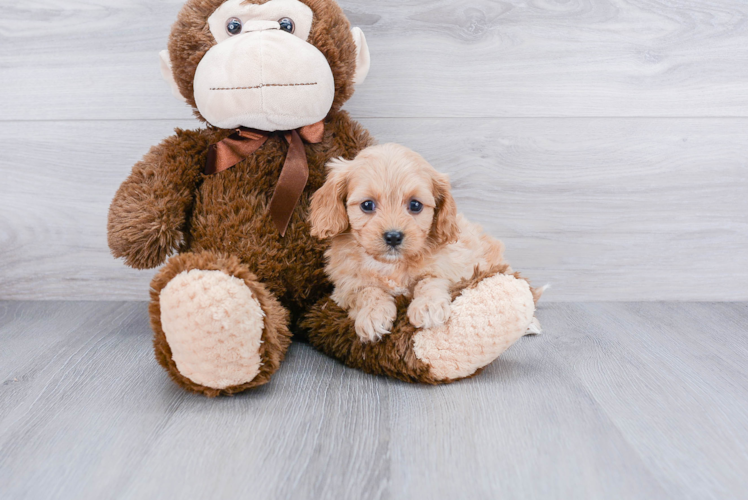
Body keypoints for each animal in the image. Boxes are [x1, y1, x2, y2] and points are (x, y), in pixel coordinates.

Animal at [308, 143, 536, 342]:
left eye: (415, 205)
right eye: (367, 205)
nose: (393, 236)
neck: (391, 265)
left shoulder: (453, 267)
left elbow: (430, 280)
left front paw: (428, 307)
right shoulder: (344, 287)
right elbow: (367, 291)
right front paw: (373, 315)